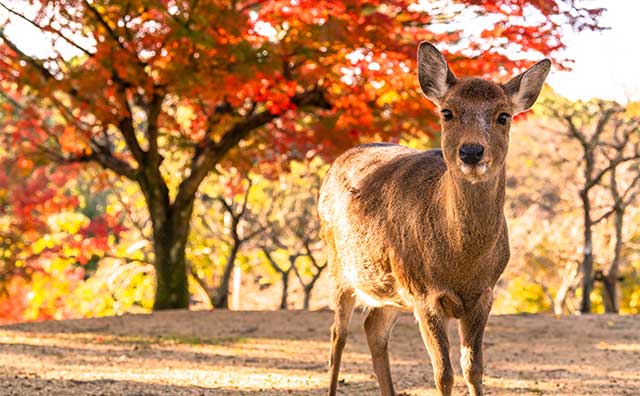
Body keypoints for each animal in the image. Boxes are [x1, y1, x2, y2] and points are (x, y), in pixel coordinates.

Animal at [318, 41, 552, 396]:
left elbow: (474, 369)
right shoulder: (423, 292)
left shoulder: (485, 293)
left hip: (389, 287)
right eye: (447, 112)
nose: (471, 151)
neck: (461, 264)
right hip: (339, 264)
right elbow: (443, 373)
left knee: (374, 328)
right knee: (337, 336)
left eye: (503, 116)